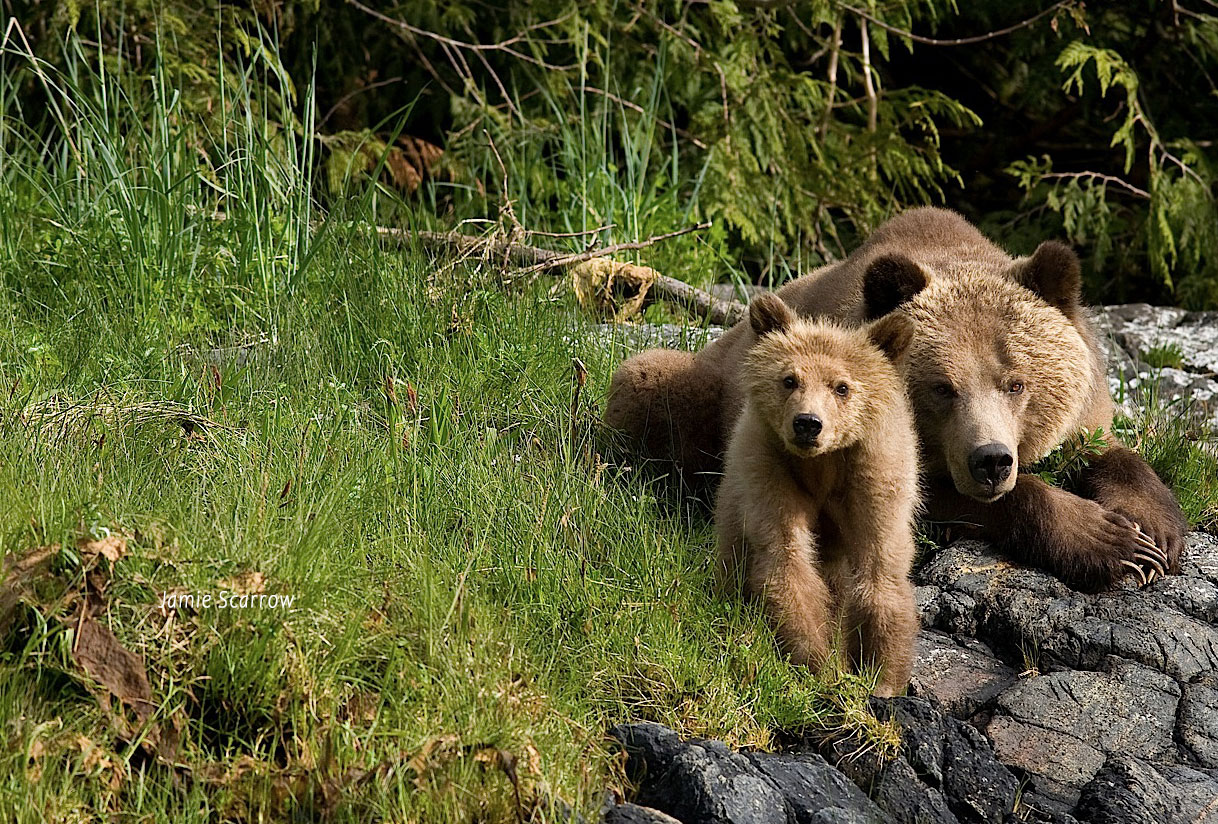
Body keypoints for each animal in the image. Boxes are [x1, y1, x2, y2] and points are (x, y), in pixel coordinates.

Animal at [605, 207, 1182, 592]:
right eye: (942, 388)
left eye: (1016, 383)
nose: (992, 461)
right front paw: (1109, 542)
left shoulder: (1085, 403)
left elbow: (1111, 450)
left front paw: (1153, 534)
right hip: (702, 386)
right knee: (650, 382)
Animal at [716, 293, 920, 696]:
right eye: (789, 379)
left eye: (841, 386)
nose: (808, 424)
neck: (822, 465)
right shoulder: (770, 467)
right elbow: (787, 560)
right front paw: (821, 665)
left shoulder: (874, 475)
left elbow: (880, 566)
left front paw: (883, 677)